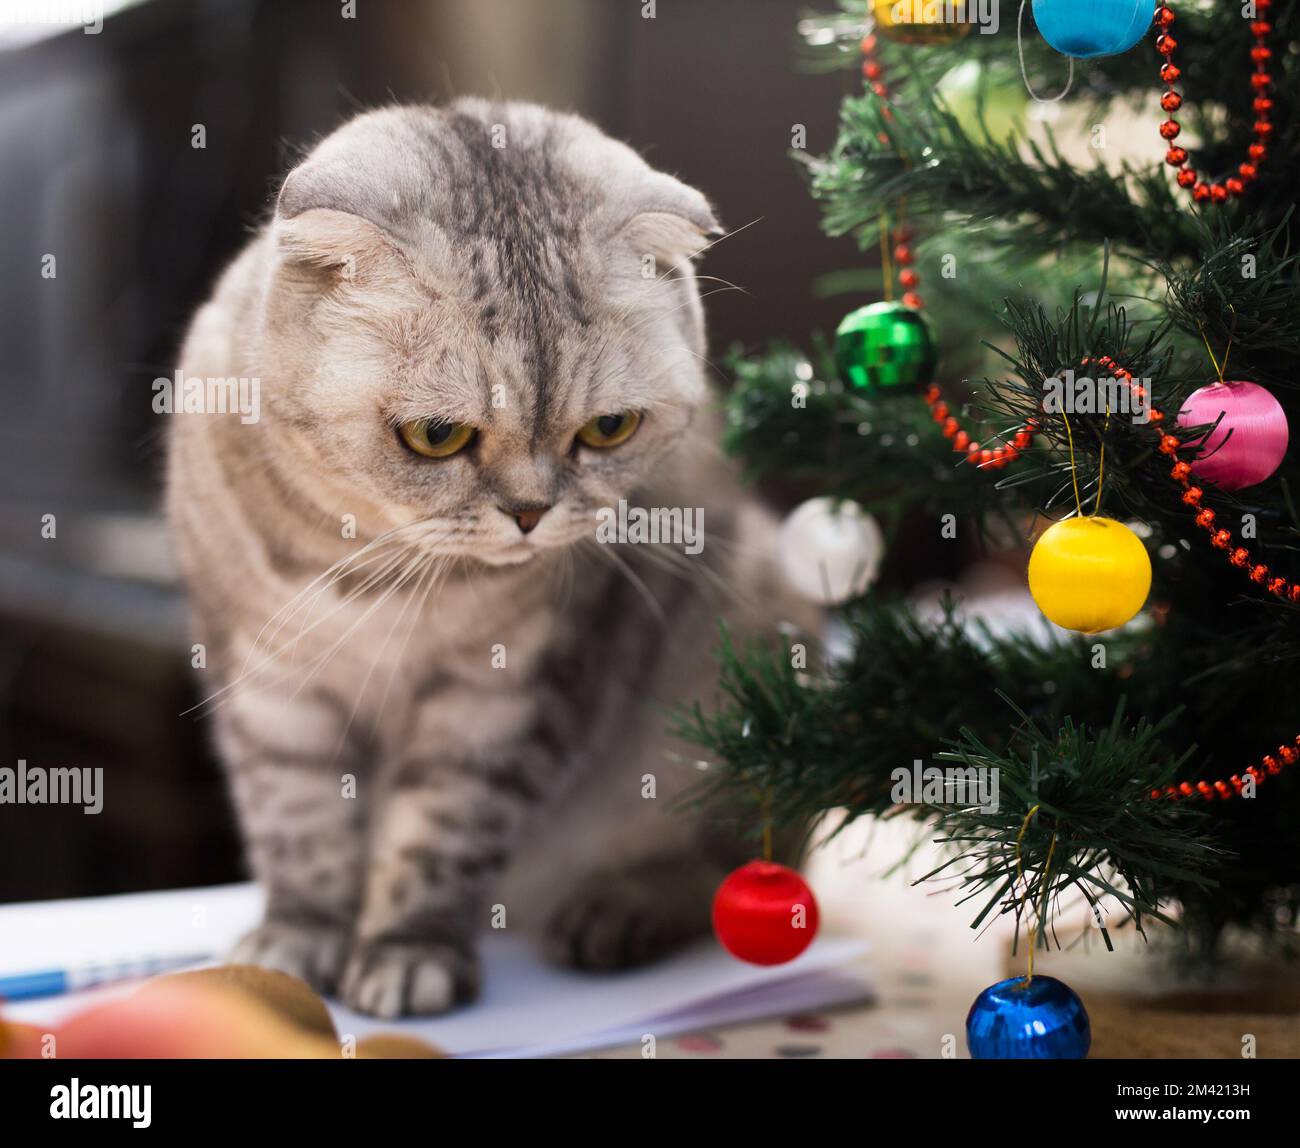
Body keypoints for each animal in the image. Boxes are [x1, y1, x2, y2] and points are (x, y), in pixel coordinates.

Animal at [165, 98, 811, 1014]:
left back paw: (615, 914)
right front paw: (295, 946)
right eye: (437, 436)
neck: (372, 573)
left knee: (737, 868)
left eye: (609, 428)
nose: (531, 513)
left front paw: (408, 954)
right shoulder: (268, 684)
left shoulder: (499, 694)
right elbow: (300, 829)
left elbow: (439, 836)